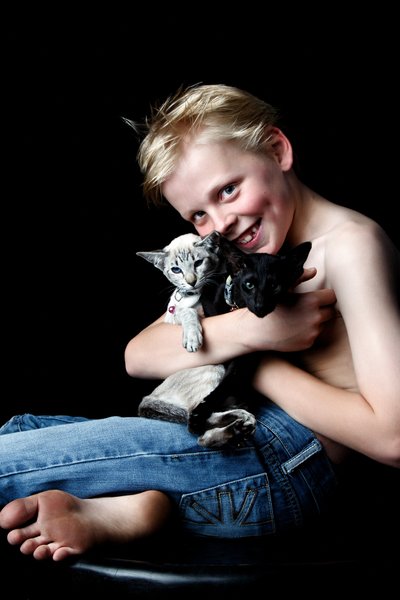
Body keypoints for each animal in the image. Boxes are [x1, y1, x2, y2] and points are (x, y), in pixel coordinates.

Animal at [138, 232, 312, 448]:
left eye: (275, 286)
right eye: (249, 285)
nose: (260, 306)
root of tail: (149, 397)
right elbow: (187, 312)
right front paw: (193, 336)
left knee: (203, 433)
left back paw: (237, 425)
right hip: (214, 368)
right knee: (196, 425)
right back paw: (234, 423)